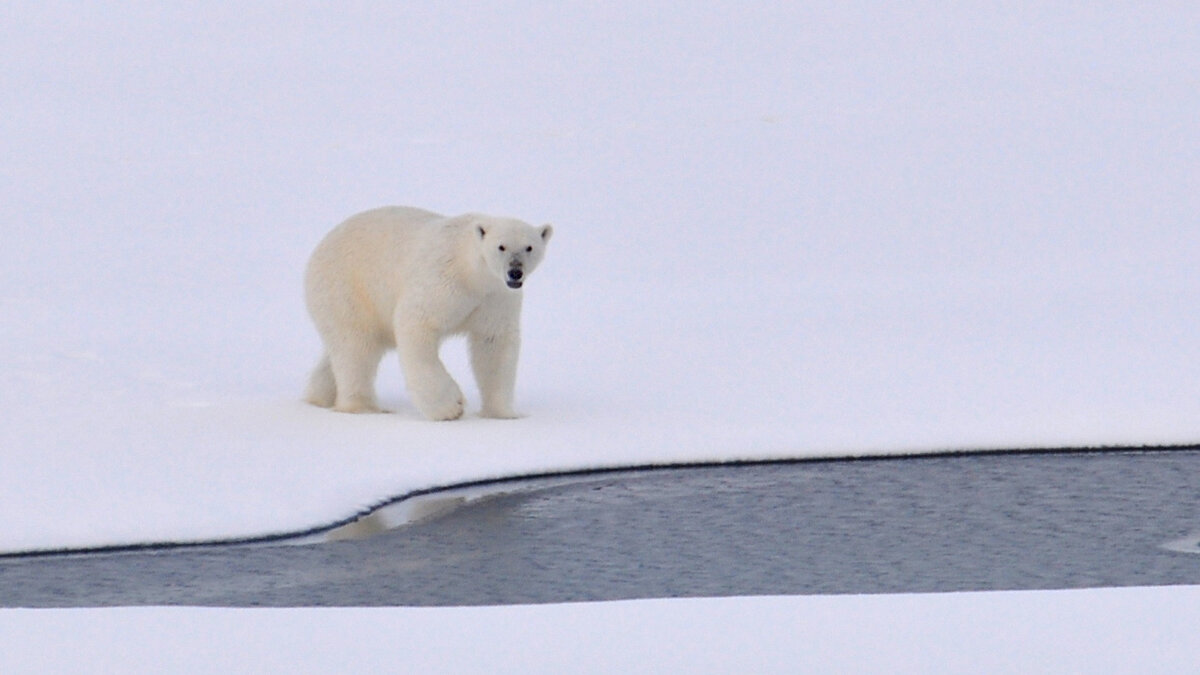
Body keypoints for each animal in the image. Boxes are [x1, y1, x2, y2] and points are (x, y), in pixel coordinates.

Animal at [307, 205, 554, 417]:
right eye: (501, 246)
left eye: (529, 247)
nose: (515, 272)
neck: (472, 273)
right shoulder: (443, 279)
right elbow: (417, 322)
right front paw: (450, 407)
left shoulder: (495, 297)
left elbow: (493, 343)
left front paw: (503, 413)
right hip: (347, 289)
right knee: (356, 347)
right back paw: (363, 407)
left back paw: (318, 397)